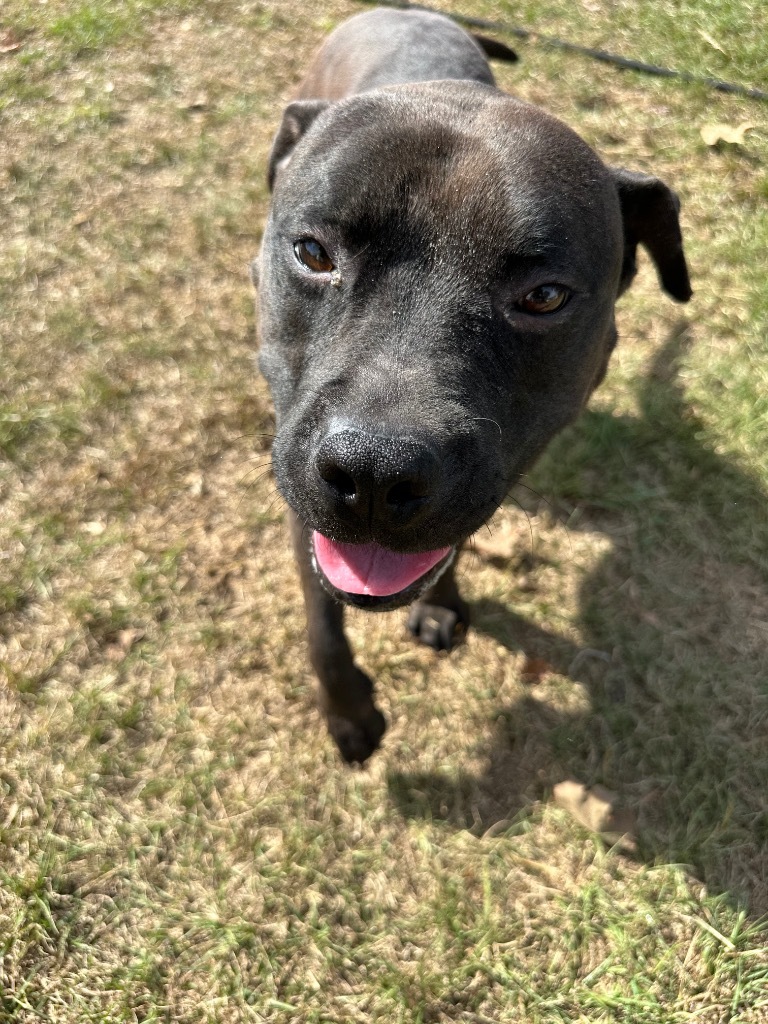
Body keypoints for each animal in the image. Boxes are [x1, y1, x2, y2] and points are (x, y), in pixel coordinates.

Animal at [253, 8, 692, 761]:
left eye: (544, 296)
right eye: (312, 253)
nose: (375, 473)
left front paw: (440, 604)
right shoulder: (299, 490)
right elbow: (321, 621)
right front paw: (347, 711)